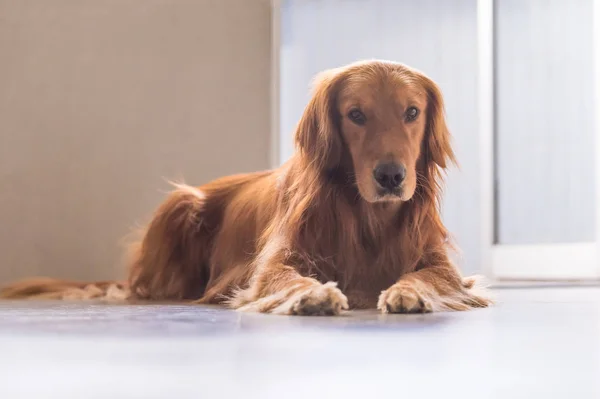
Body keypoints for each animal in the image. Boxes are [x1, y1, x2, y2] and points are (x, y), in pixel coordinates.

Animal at [1, 60, 492, 316]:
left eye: (412, 112)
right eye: (356, 114)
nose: (391, 176)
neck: (366, 216)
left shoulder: (440, 263)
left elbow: (429, 276)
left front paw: (408, 291)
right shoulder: (273, 262)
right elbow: (285, 277)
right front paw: (313, 293)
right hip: (180, 202)